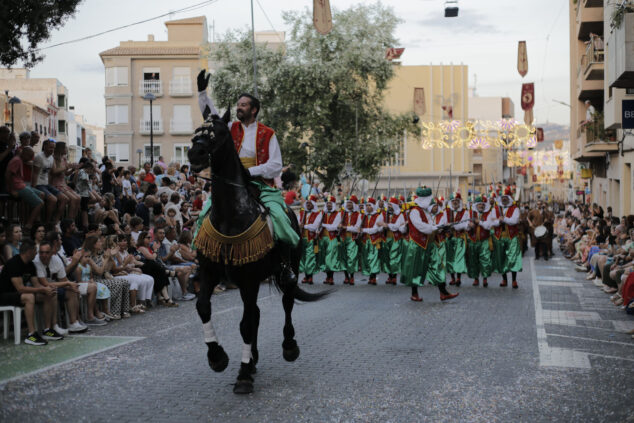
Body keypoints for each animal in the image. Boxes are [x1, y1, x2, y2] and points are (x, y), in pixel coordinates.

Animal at [186, 108, 326, 394]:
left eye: (217, 133)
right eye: (197, 131)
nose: (194, 154)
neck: (230, 216)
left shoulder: (250, 279)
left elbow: (246, 325)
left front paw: (242, 375)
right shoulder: (211, 272)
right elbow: (204, 307)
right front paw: (217, 357)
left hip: (288, 270)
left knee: (285, 302)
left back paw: (288, 347)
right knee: (256, 313)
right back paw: (252, 359)